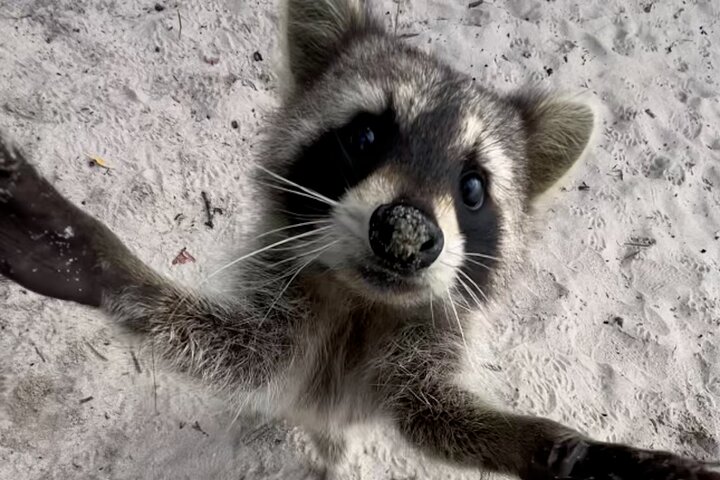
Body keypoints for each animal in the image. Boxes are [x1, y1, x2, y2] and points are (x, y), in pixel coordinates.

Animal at [0, 1, 718, 479]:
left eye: (474, 189)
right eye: (366, 136)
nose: (406, 235)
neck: (362, 301)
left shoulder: (430, 337)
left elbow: (436, 415)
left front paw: (561, 449)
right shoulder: (281, 291)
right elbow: (242, 353)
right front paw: (113, 269)